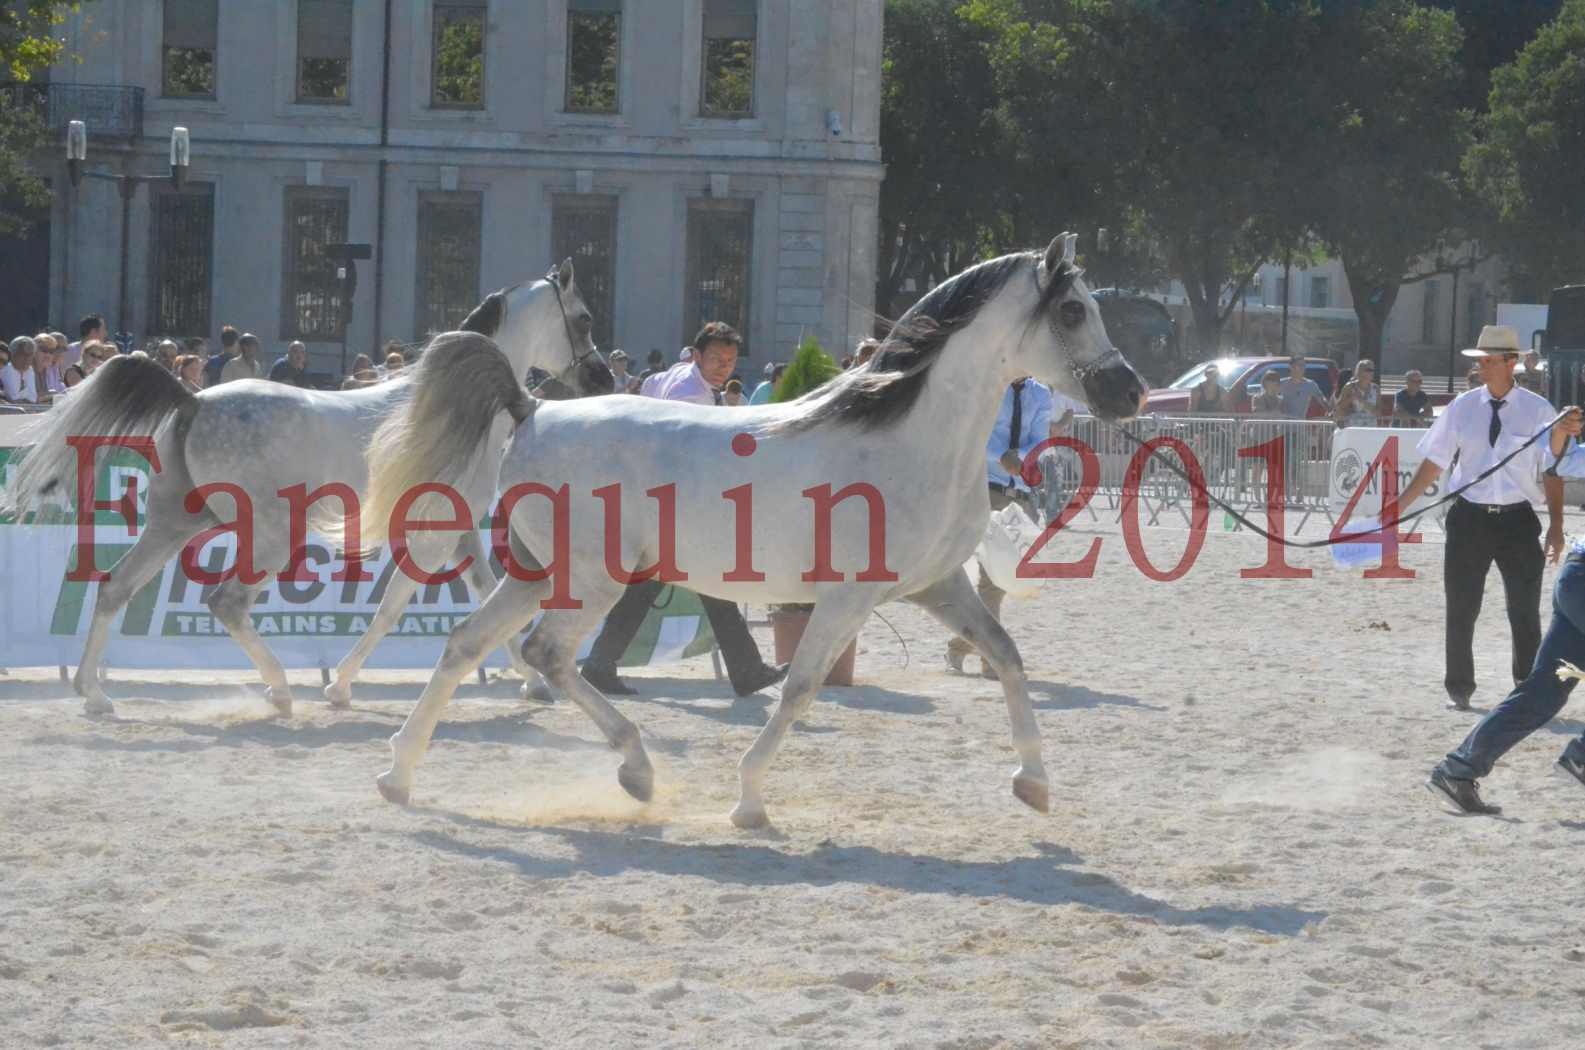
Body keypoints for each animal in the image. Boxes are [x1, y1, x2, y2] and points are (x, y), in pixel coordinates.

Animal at [4, 264, 611, 723]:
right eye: (583, 319)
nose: (603, 379)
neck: (464, 404)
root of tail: (193, 400)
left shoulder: (458, 528)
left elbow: (483, 592)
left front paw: (532, 682)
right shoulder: (438, 529)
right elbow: (394, 605)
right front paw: (338, 686)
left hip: (177, 522)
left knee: (115, 587)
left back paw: (94, 693)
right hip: (271, 533)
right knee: (226, 602)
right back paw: (279, 691)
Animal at [350, 234, 1141, 824]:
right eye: (1074, 309)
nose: (1128, 391)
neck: (910, 437)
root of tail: (533, 407)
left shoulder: (937, 586)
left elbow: (1005, 655)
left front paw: (1033, 783)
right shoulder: (848, 599)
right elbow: (800, 687)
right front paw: (749, 799)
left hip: (536, 574)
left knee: (466, 642)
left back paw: (397, 773)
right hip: (590, 580)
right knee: (546, 654)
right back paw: (635, 769)